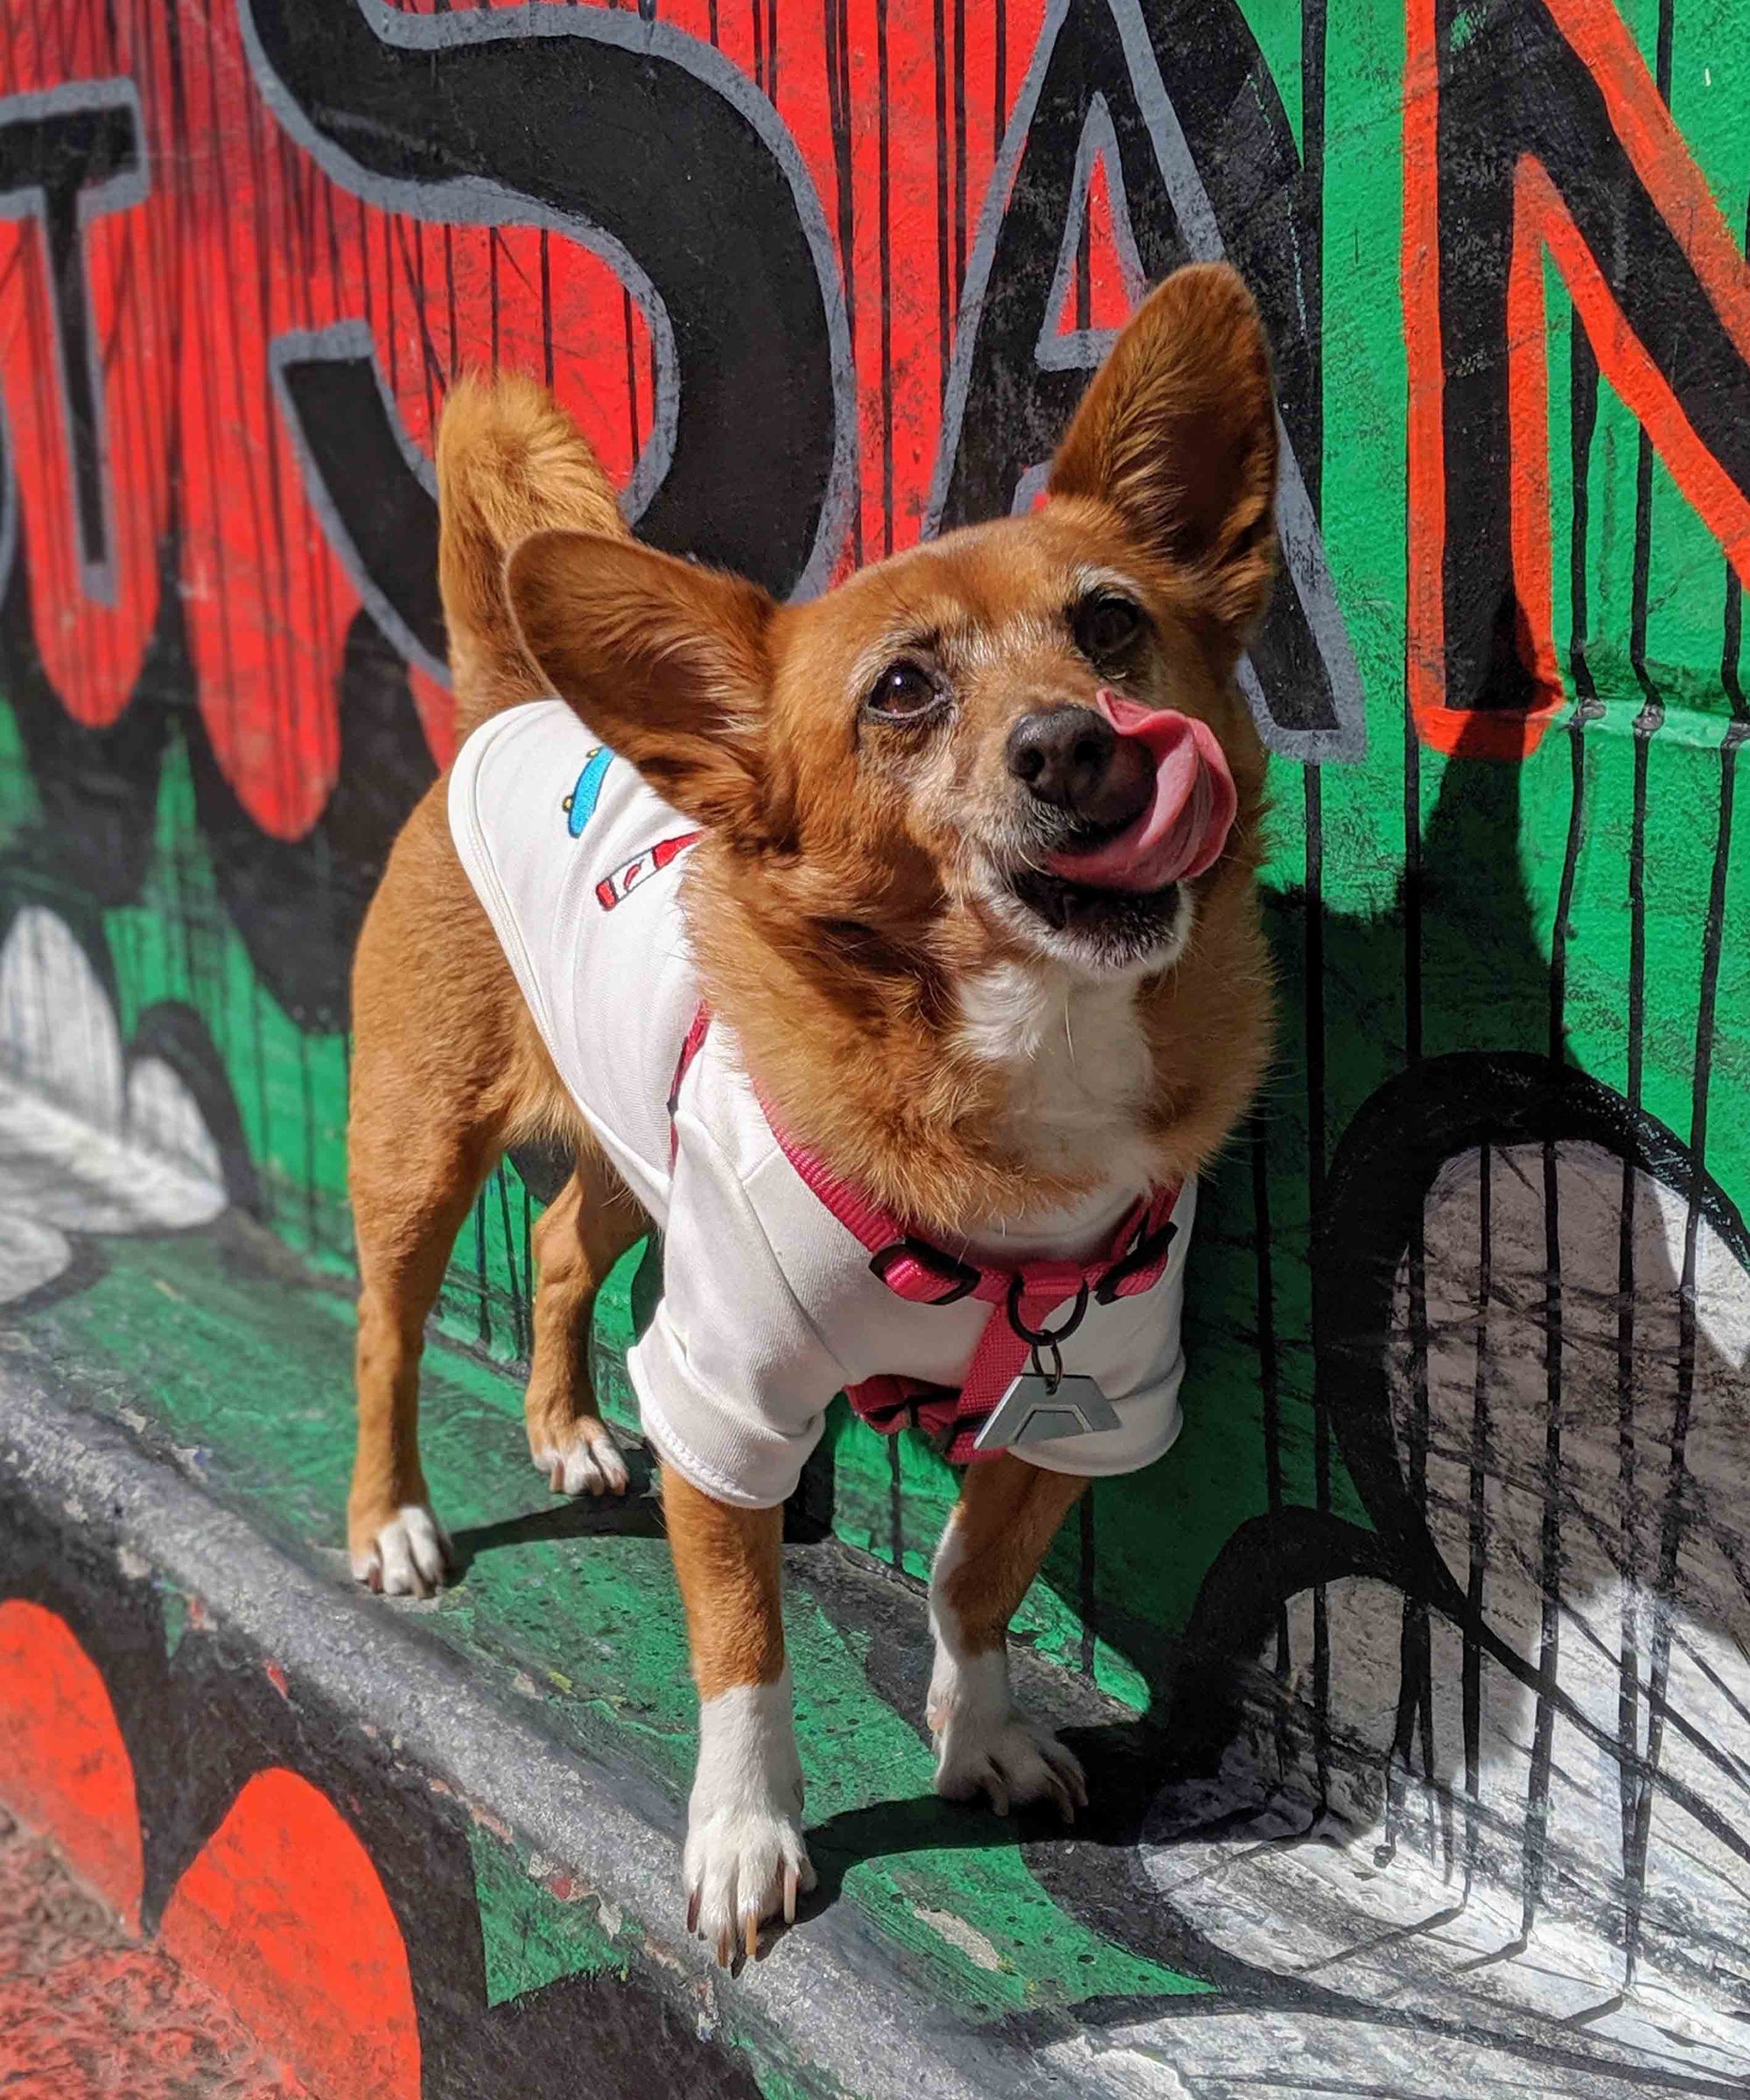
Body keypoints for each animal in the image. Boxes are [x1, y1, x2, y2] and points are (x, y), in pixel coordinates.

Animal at [344, 262, 1269, 1965]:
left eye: (1112, 622)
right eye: (901, 690)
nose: (1077, 742)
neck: (1012, 1081)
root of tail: (516, 702)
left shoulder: (1087, 1406)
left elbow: (973, 1584)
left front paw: (980, 1741)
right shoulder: (727, 1403)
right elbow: (746, 1647)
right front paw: (744, 1837)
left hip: (635, 1150)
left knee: (562, 1246)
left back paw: (565, 1428)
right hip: (420, 1150)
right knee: (386, 1331)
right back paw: (394, 1523)